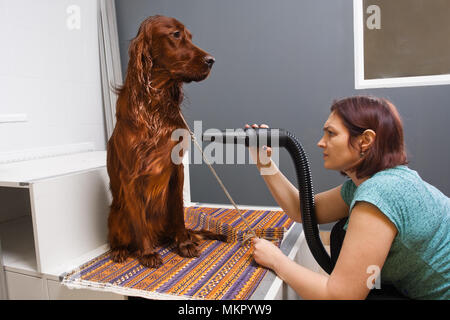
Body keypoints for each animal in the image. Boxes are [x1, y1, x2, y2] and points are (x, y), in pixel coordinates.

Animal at [106, 16, 225, 268]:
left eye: (190, 36)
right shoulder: (131, 177)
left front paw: (184, 244)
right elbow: (139, 221)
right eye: (176, 35)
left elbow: (179, 213)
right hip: (116, 213)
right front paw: (148, 253)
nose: (212, 60)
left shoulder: (176, 169)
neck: (154, 105)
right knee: (119, 237)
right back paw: (121, 250)